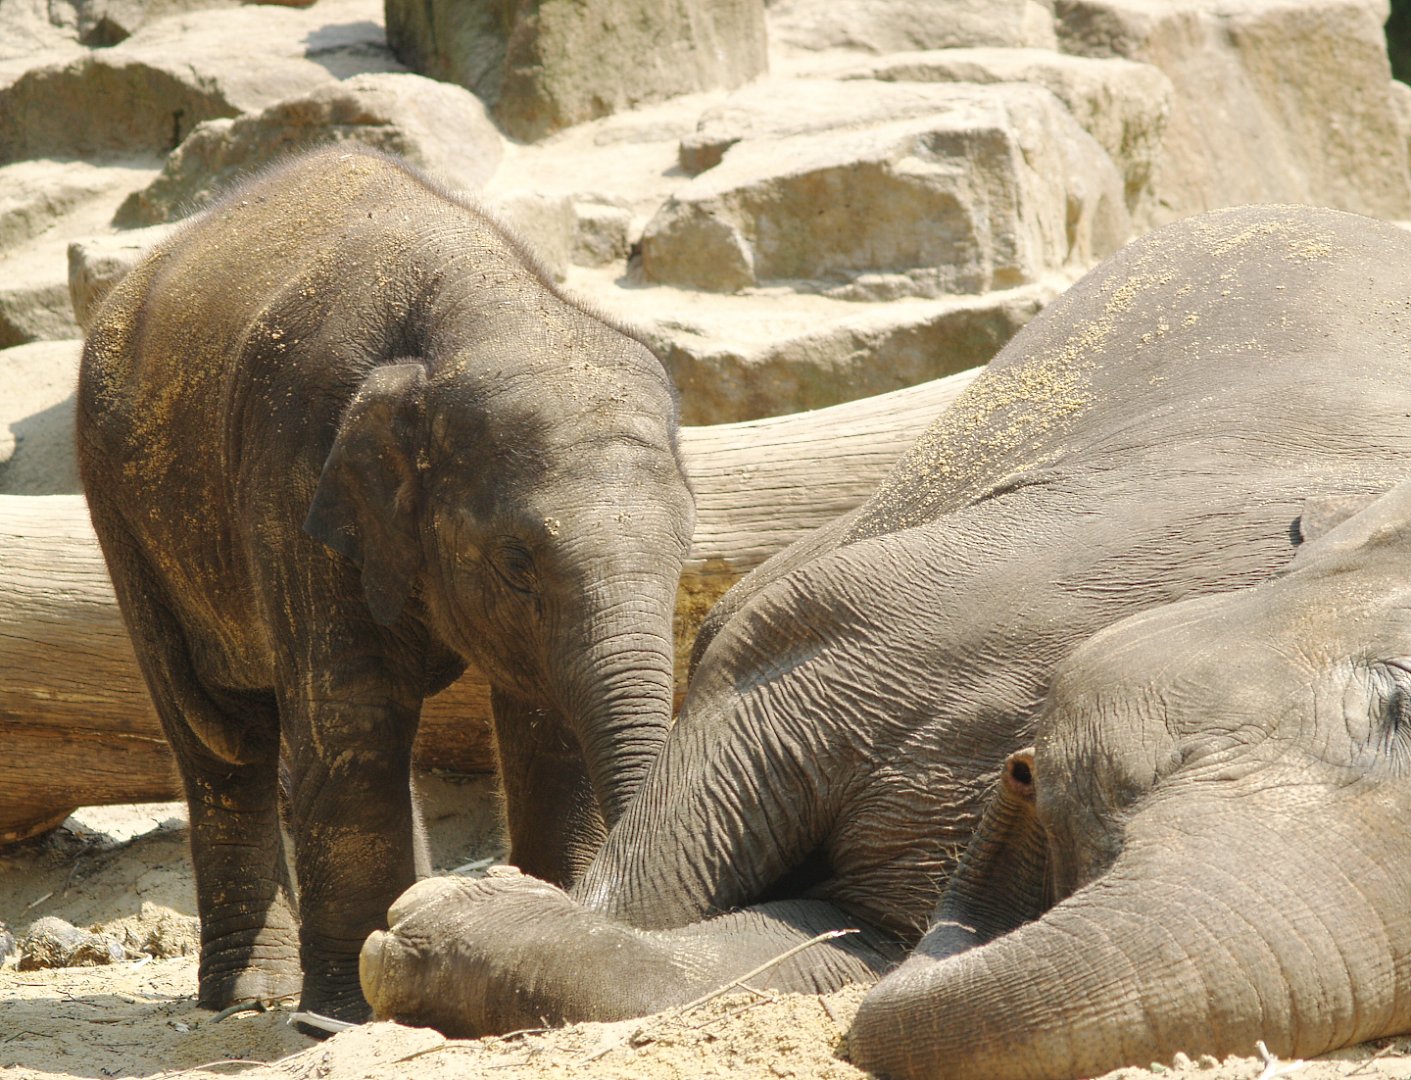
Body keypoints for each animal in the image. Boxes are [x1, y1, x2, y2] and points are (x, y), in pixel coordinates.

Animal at [75, 147, 694, 1023]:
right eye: (516, 561)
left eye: (684, 548)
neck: (479, 304)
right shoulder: (296, 470)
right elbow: (352, 712)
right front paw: (338, 1014)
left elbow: (550, 718)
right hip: (120, 509)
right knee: (221, 736)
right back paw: (253, 996)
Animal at [355, 202, 1411, 1069]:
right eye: (1396, 700)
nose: (1019, 778)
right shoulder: (981, 585)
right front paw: (429, 917)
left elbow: (841, 943)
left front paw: (443, 920)